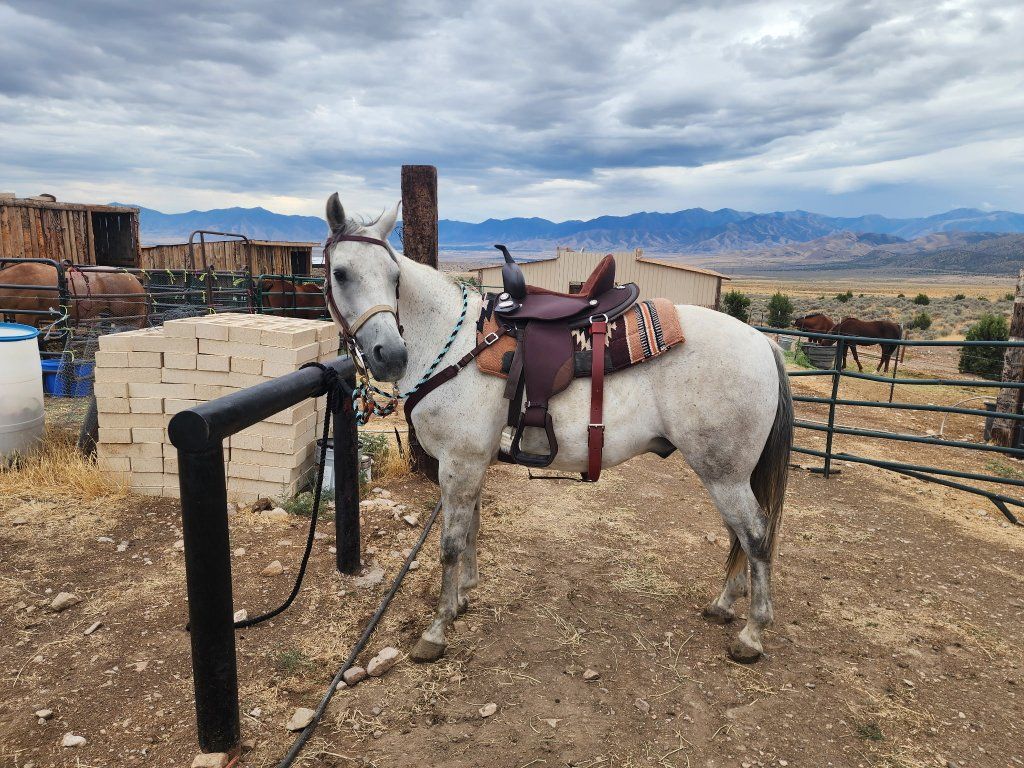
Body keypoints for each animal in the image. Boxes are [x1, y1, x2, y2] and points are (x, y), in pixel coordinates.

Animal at [322, 193, 793, 664]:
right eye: (340, 273)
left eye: (394, 277)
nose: (390, 355)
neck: (453, 346)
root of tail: (762, 342)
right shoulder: (472, 464)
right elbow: (472, 525)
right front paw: (463, 597)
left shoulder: (459, 462)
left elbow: (451, 544)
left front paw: (437, 629)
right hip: (727, 473)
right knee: (738, 533)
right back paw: (724, 605)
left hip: (724, 473)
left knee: (754, 533)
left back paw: (752, 633)